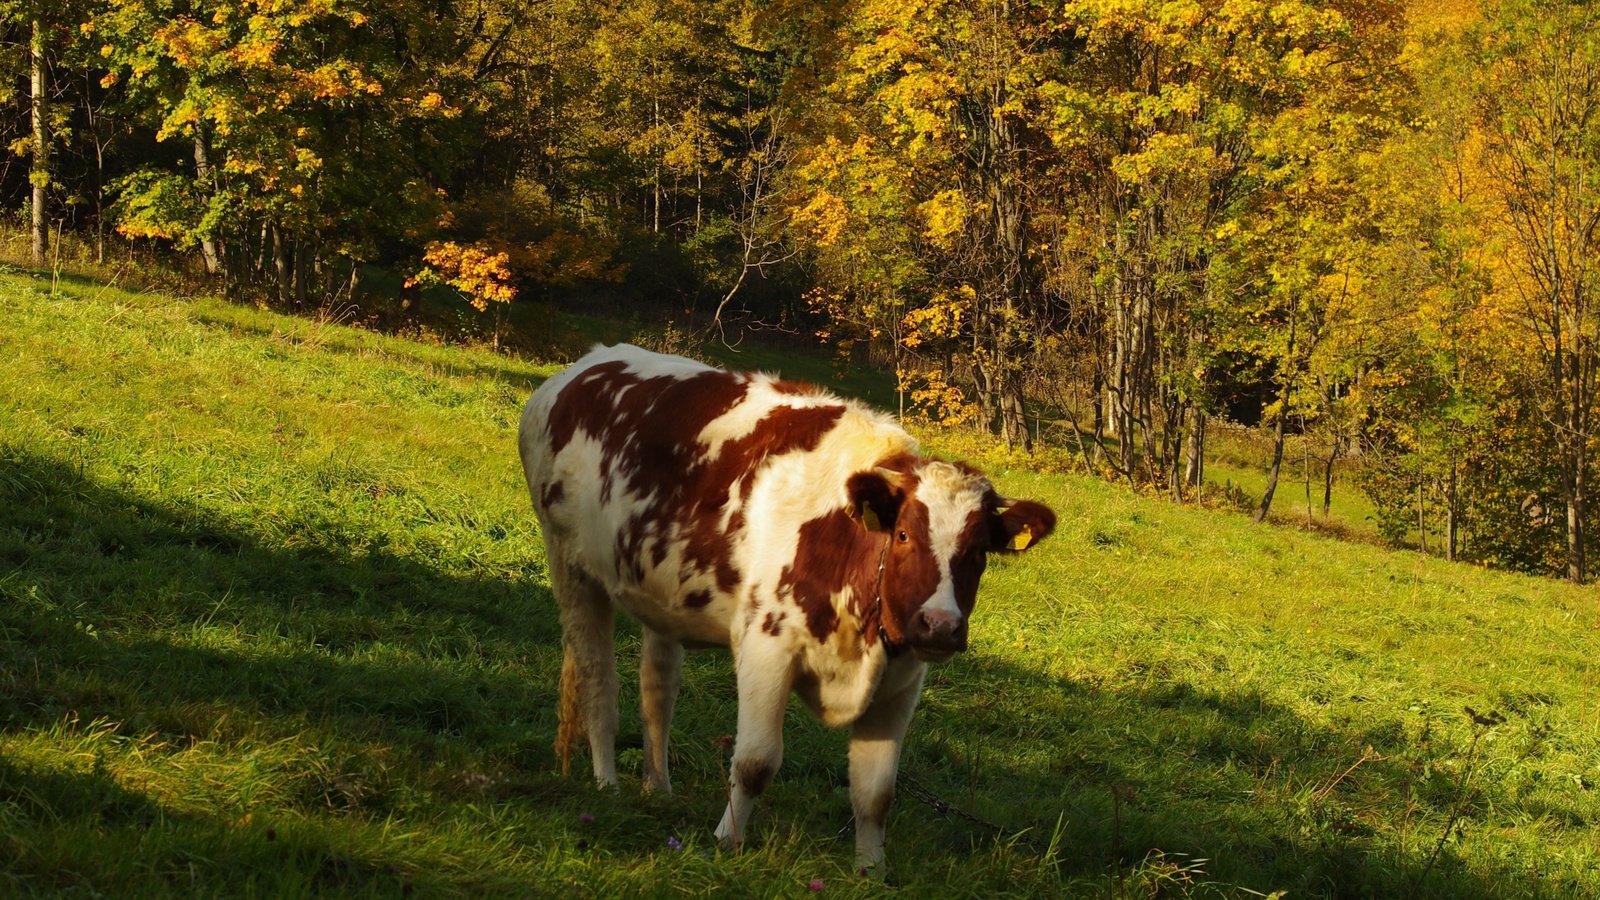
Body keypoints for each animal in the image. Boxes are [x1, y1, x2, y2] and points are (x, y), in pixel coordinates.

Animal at [518, 341, 1056, 871]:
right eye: (903, 534)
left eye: (980, 551)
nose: (940, 626)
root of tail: (585, 365)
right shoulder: (765, 648)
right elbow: (755, 762)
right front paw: (727, 842)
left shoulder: (903, 681)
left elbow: (876, 791)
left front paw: (870, 872)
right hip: (571, 565)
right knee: (597, 679)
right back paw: (606, 784)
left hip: (661, 595)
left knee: (657, 690)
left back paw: (659, 788)